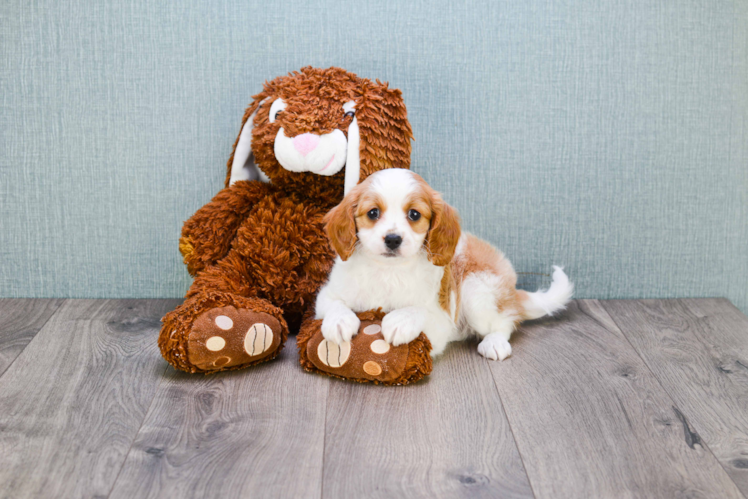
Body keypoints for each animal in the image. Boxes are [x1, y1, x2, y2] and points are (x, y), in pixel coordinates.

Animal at [312, 168, 568, 360]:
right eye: (373, 213)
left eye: (414, 215)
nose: (393, 239)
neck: (388, 270)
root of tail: (512, 291)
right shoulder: (328, 293)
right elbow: (334, 303)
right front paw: (339, 321)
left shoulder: (440, 323)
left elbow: (420, 311)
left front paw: (401, 320)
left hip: (478, 291)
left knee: (506, 321)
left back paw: (495, 342)